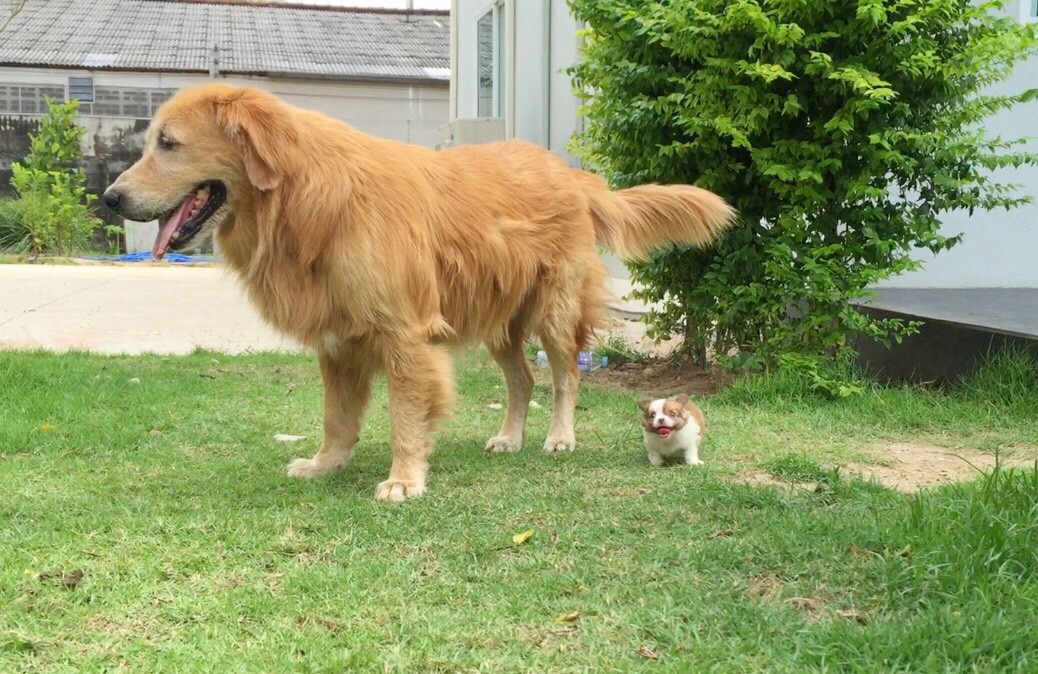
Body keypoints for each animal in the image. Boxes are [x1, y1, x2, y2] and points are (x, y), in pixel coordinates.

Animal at [102, 83, 735, 502]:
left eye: (168, 143)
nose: (110, 198)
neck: (309, 201)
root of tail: (573, 175)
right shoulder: (337, 341)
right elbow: (337, 419)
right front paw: (324, 465)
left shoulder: (404, 335)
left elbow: (405, 415)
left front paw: (404, 478)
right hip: (497, 318)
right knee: (522, 381)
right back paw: (509, 438)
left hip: (554, 312)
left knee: (564, 378)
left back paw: (559, 437)